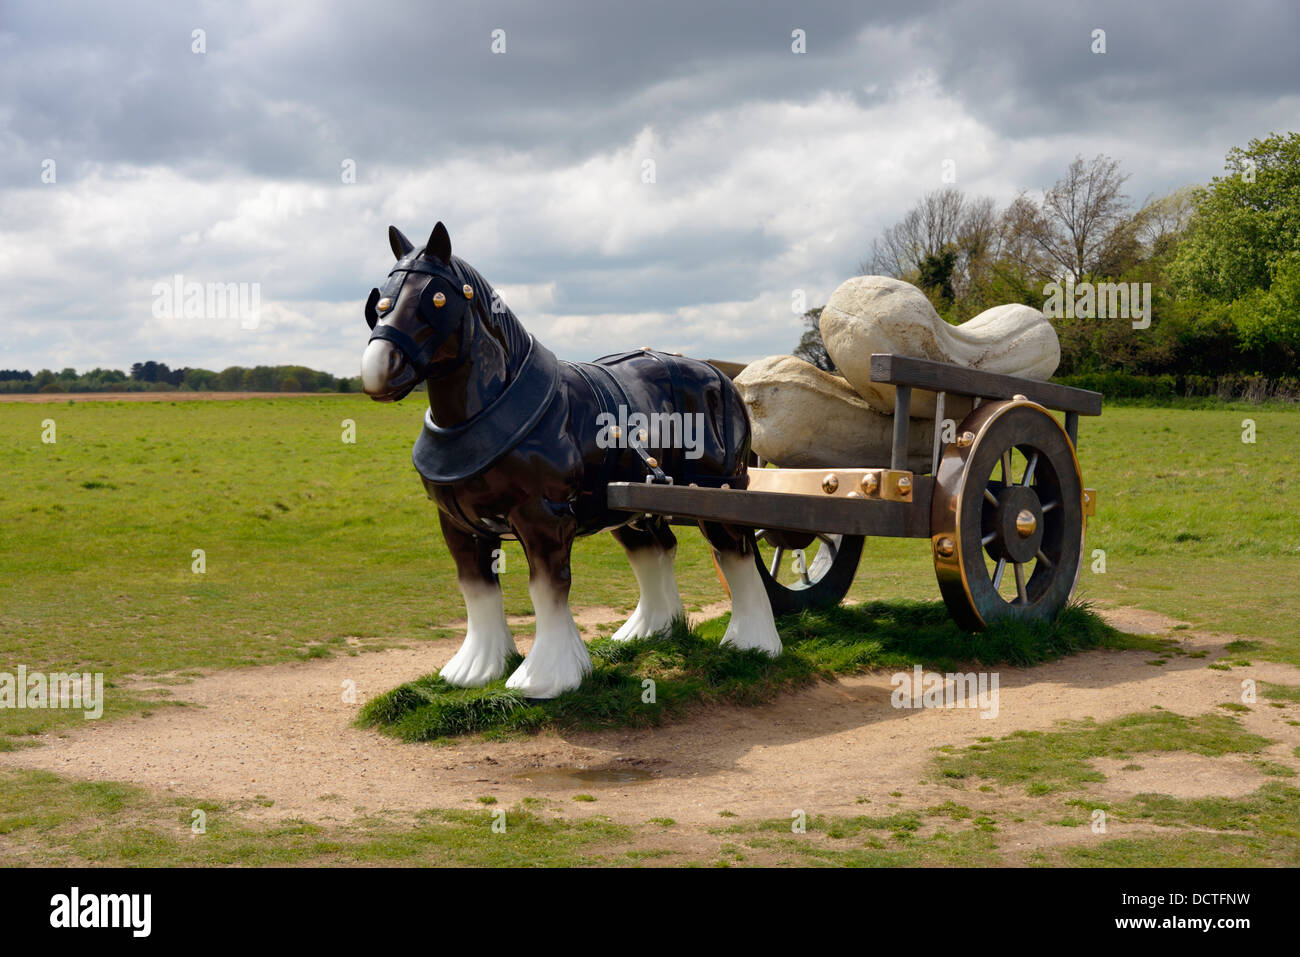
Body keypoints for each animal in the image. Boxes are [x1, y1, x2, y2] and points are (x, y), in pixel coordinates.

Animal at [361, 226, 774, 702]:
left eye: (437, 299)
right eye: (379, 299)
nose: (377, 370)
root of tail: (721, 374)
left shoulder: (544, 517)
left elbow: (547, 587)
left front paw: (547, 675)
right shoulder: (458, 523)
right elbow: (476, 590)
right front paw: (477, 666)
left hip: (719, 493)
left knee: (735, 554)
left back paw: (752, 643)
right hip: (629, 502)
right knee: (656, 549)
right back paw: (650, 631)